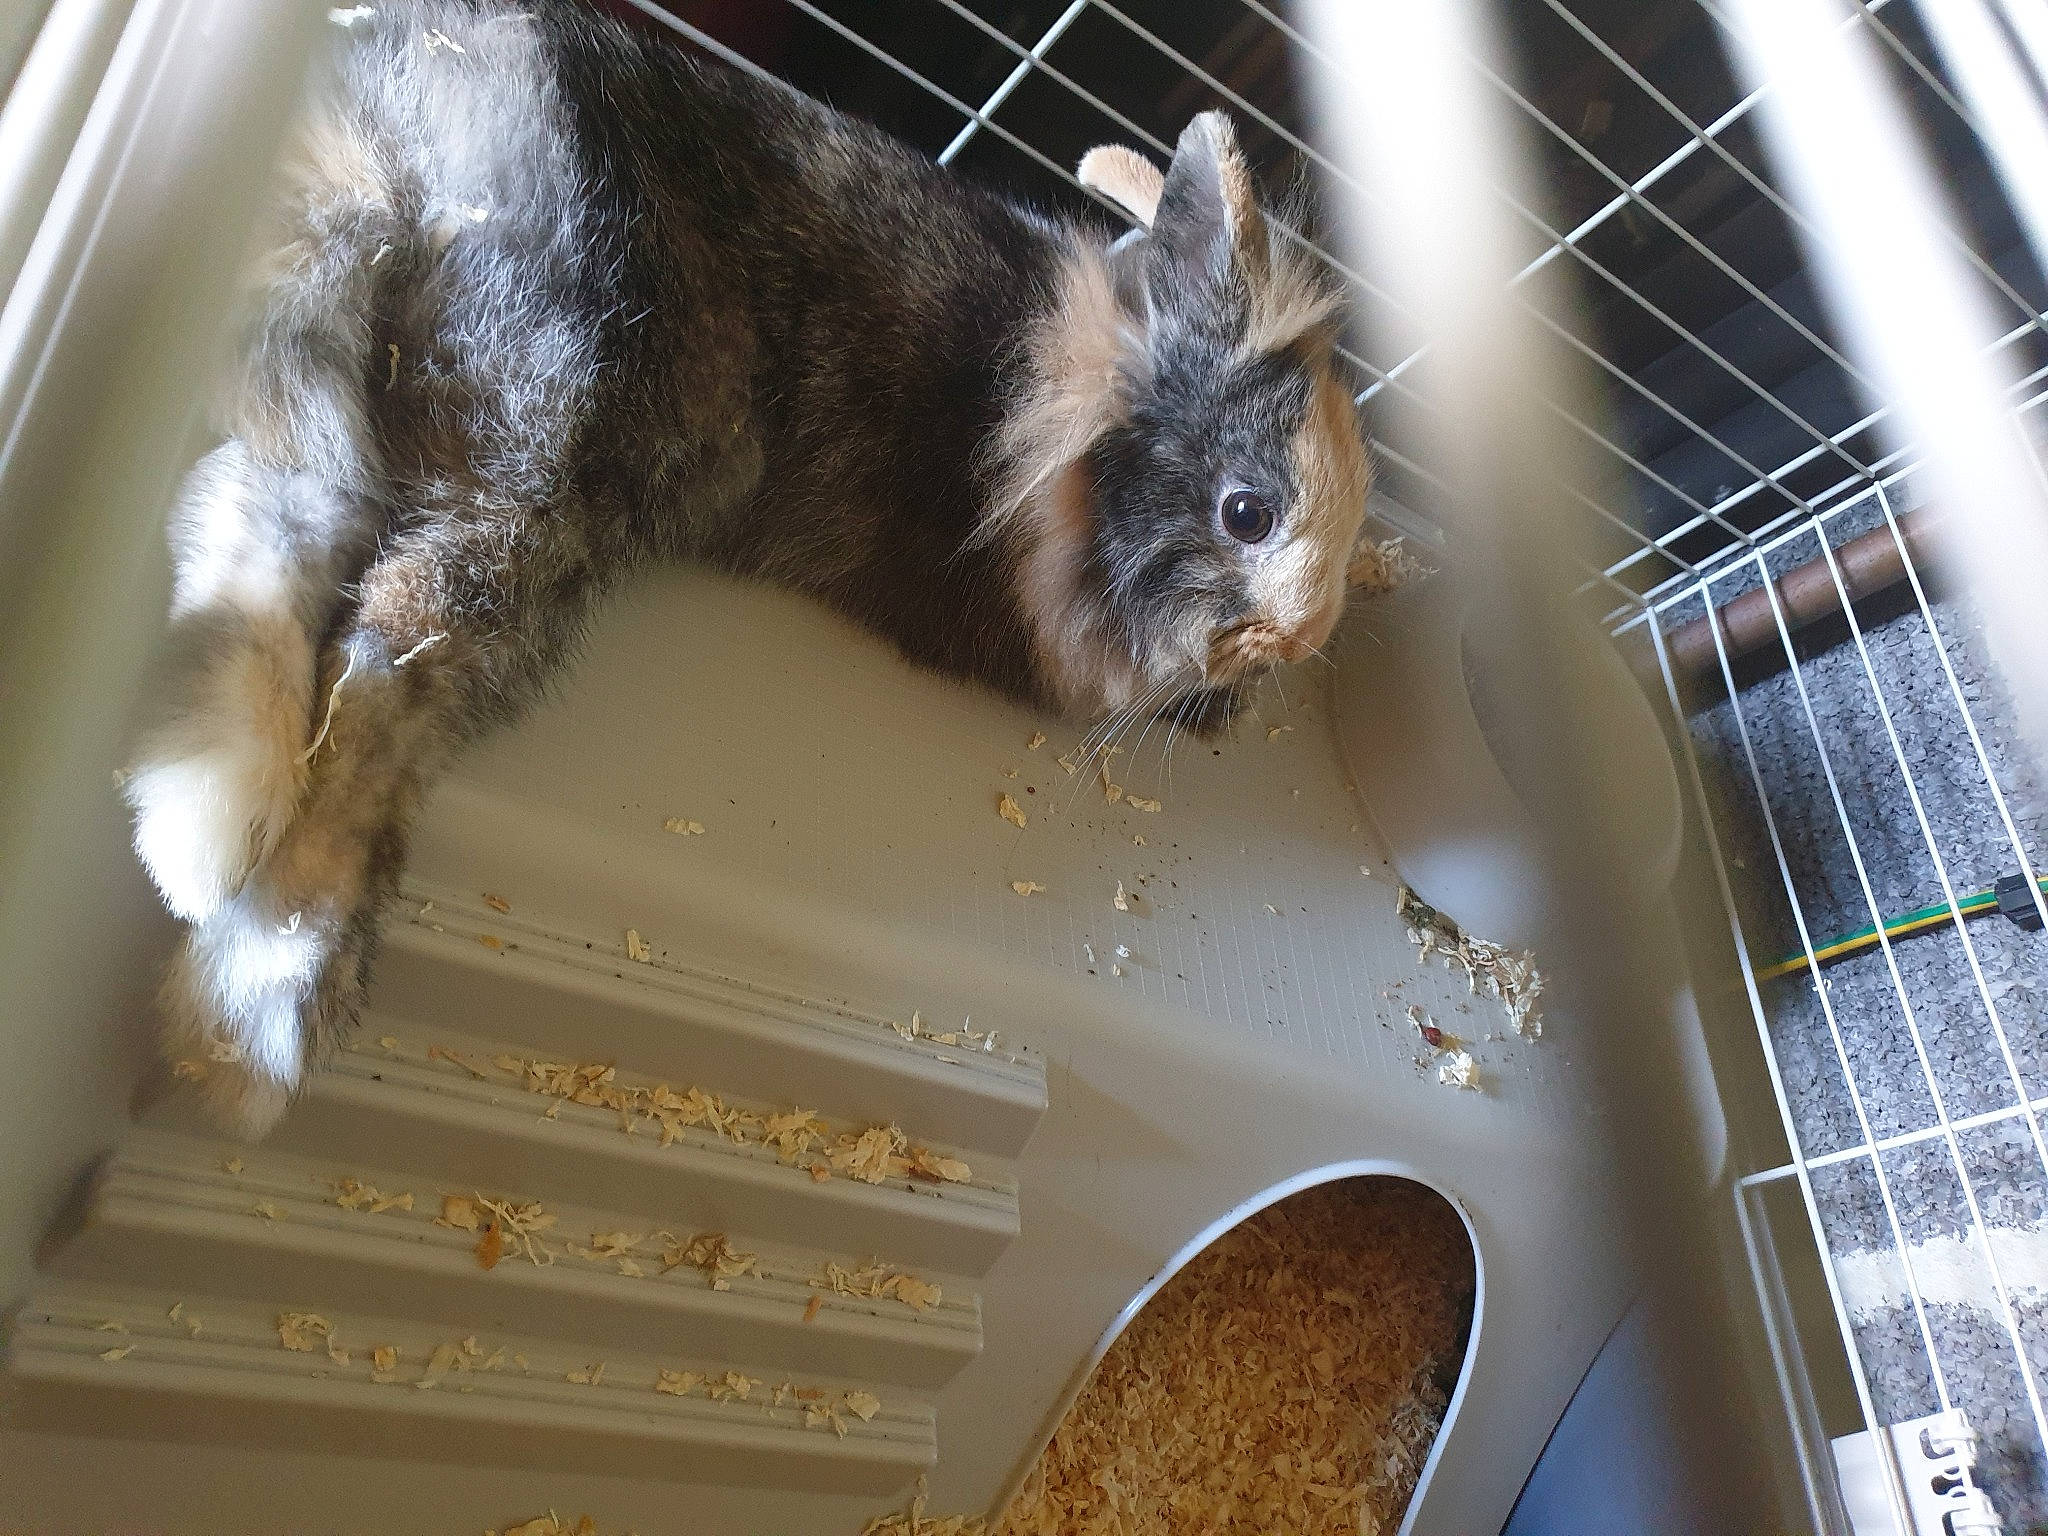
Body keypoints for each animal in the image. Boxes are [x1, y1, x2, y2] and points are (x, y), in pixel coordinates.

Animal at [122, 0, 1373, 1137]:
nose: (1296, 642)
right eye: (1246, 512)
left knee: (267, 510)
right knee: (388, 657)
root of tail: (399, 129)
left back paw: (197, 825)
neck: (1064, 410)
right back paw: (247, 1032)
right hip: (534, 443)